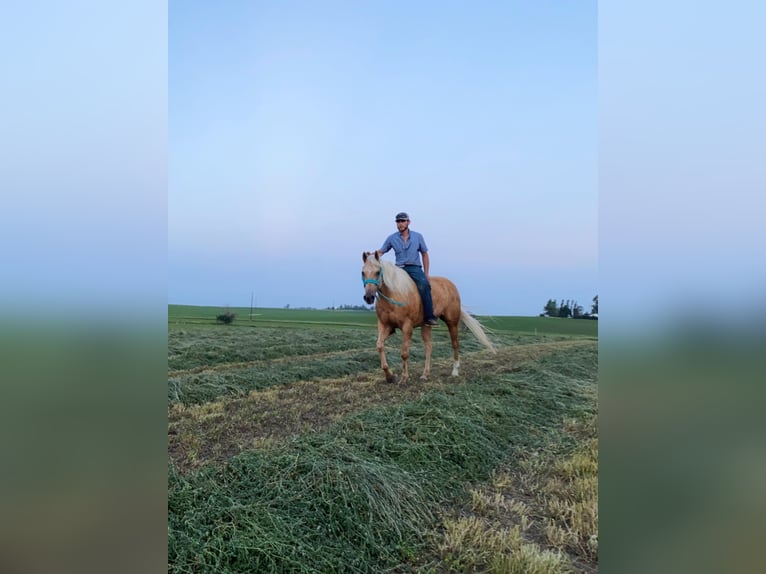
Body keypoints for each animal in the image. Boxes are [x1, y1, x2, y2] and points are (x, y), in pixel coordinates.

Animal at [362, 253, 496, 384]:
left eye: (377, 272)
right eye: (363, 272)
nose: (368, 297)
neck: (395, 294)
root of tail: (451, 285)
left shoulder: (407, 327)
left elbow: (404, 353)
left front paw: (404, 378)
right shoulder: (385, 325)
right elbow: (379, 345)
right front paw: (389, 376)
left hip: (452, 322)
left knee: (455, 344)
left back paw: (455, 371)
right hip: (426, 325)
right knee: (429, 347)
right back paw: (425, 374)